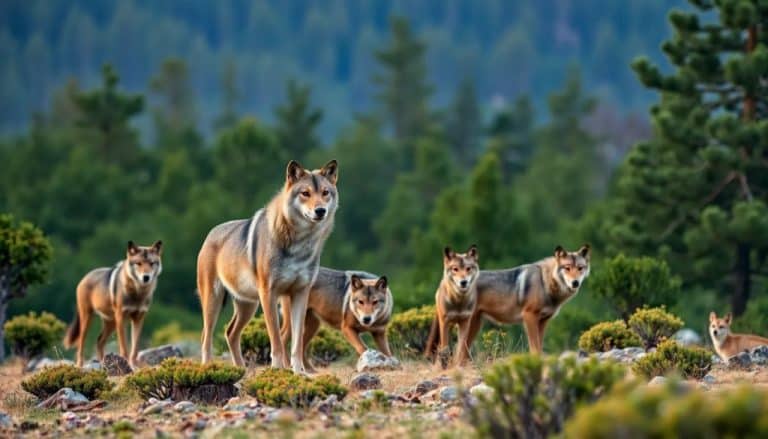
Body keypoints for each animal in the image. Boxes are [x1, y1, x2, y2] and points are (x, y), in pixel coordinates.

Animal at [63, 240, 163, 369]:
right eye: (138, 263)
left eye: (151, 263)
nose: (146, 277)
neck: (138, 293)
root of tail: (85, 277)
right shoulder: (121, 317)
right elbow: (124, 347)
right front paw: (127, 363)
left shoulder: (139, 318)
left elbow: (135, 347)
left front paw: (135, 364)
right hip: (88, 319)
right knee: (81, 343)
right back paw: (80, 365)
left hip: (111, 323)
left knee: (99, 341)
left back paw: (103, 363)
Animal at [196, 160, 338, 373]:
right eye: (305, 193)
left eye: (325, 192)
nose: (320, 210)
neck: (300, 245)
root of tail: (210, 234)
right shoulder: (269, 294)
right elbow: (277, 340)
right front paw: (278, 369)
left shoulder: (300, 294)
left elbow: (297, 342)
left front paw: (299, 372)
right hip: (214, 301)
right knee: (206, 336)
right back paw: (208, 367)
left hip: (248, 305)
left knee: (230, 332)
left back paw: (242, 370)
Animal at [427, 244, 591, 358]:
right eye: (567, 268)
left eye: (580, 268)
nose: (575, 283)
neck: (545, 282)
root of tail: (442, 282)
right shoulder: (529, 317)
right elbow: (535, 348)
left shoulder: (543, 321)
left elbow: (539, 345)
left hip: (473, 326)